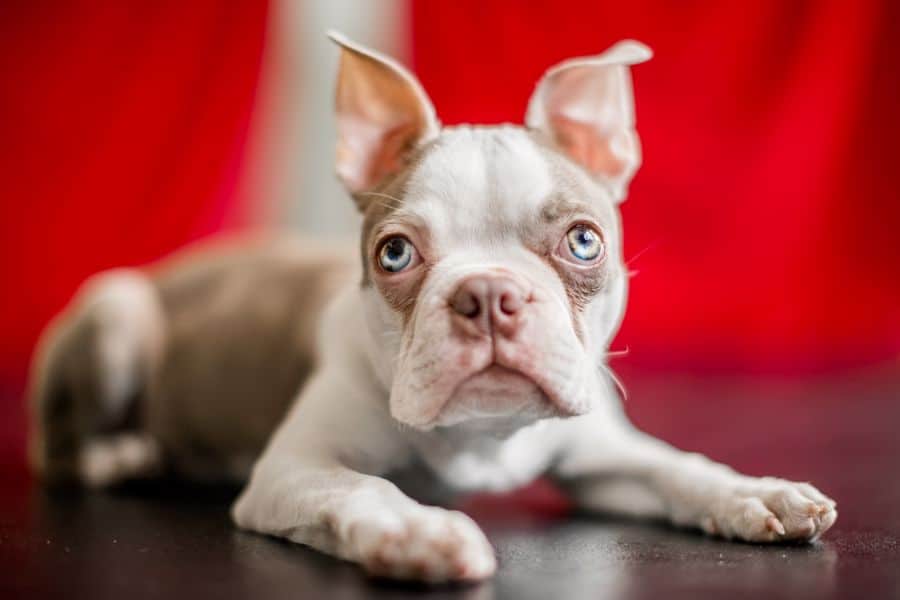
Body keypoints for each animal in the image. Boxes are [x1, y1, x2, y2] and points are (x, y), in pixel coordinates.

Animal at [33, 32, 836, 580]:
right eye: (395, 254)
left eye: (583, 241)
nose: (489, 293)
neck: (481, 434)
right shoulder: (295, 469)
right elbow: (363, 488)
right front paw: (417, 532)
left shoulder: (603, 459)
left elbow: (677, 467)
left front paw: (758, 494)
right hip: (117, 316)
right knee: (58, 449)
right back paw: (120, 455)